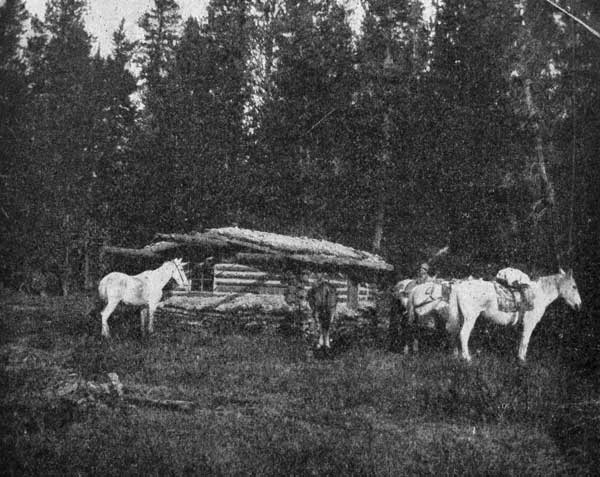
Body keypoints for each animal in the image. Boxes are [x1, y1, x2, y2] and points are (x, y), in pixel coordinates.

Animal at [450, 268, 580, 360]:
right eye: (574, 286)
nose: (579, 305)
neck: (539, 294)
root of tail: (459, 285)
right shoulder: (529, 323)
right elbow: (525, 340)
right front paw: (522, 360)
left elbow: (521, 339)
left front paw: (519, 357)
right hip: (470, 318)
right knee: (463, 334)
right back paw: (467, 358)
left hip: (461, 317)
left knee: (456, 333)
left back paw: (456, 355)